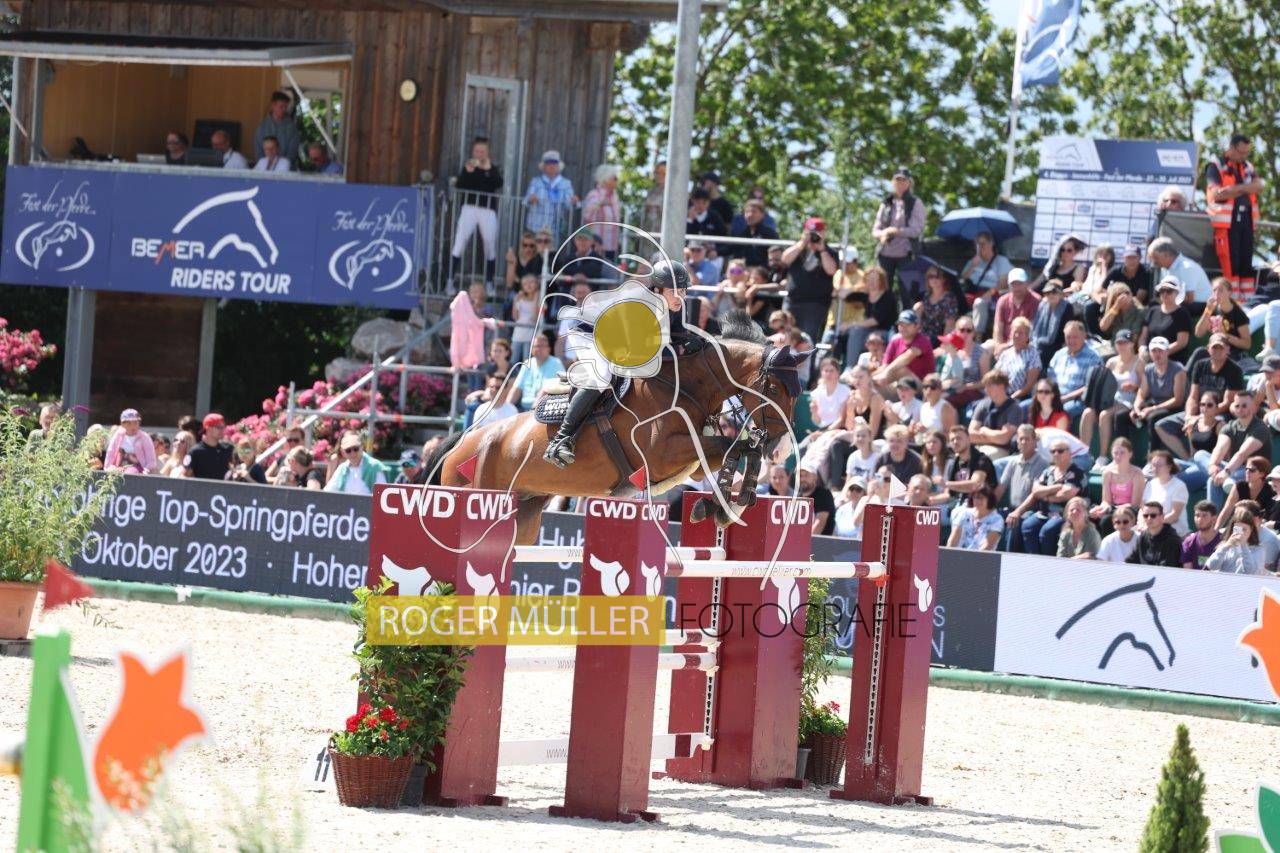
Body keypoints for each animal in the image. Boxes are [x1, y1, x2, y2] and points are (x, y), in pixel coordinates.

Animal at [429, 312, 810, 546]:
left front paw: (728, 507)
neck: (685, 384)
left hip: (526, 512)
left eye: (798, 393)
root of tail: (462, 443)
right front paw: (720, 508)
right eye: (776, 389)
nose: (782, 450)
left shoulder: (692, 461)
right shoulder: (663, 454)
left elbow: (741, 450)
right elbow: (734, 447)